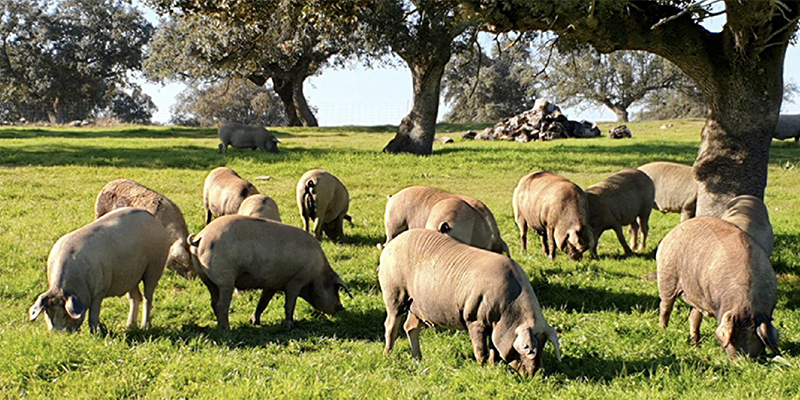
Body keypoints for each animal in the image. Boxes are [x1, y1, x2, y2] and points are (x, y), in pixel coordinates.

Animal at [28, 208, 170, 332]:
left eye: (64, 314)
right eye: (48, 313)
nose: (56, 334)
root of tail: (156, 221)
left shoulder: (98, 292)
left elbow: (93, 315)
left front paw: (95, 334)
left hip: (154, 267)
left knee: (147, 298)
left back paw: (145, 327)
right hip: (131, 275)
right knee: (135, 297)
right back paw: (129, 327)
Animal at [189, 214, 352, 330]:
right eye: (335, 290)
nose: (341, 307)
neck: (317, 275)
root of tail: (201, 237)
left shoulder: (272, 284)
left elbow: (263, 302)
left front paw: (254, 322)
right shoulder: (297, 280)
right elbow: (289, 304)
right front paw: (289, 326)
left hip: (207, 279)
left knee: (213, 302)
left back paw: (219, 326)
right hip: (225, 280)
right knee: (222, 305)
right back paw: (226, 329)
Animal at [378, 230, 560, 376]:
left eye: (544, 345)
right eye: (528, 349)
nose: (536, 374)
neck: (507, 312)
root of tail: (390, 244)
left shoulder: (494, 326)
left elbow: (494, 348)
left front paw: (494, 367)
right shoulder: (474, 318)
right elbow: (481, 350)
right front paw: (483, 368)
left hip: (416, 305)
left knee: (410, 327)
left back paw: (419, 359)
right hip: (394, 293)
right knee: (391, 325)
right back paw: (387, 355)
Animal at [660, 217, 780, 358]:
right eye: (732, 339)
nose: (742, 359)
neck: (746, 303)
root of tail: (672, 232)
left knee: (693, 316)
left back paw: (696, 343)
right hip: (667, 277)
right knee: (665, 307)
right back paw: (663, 331)